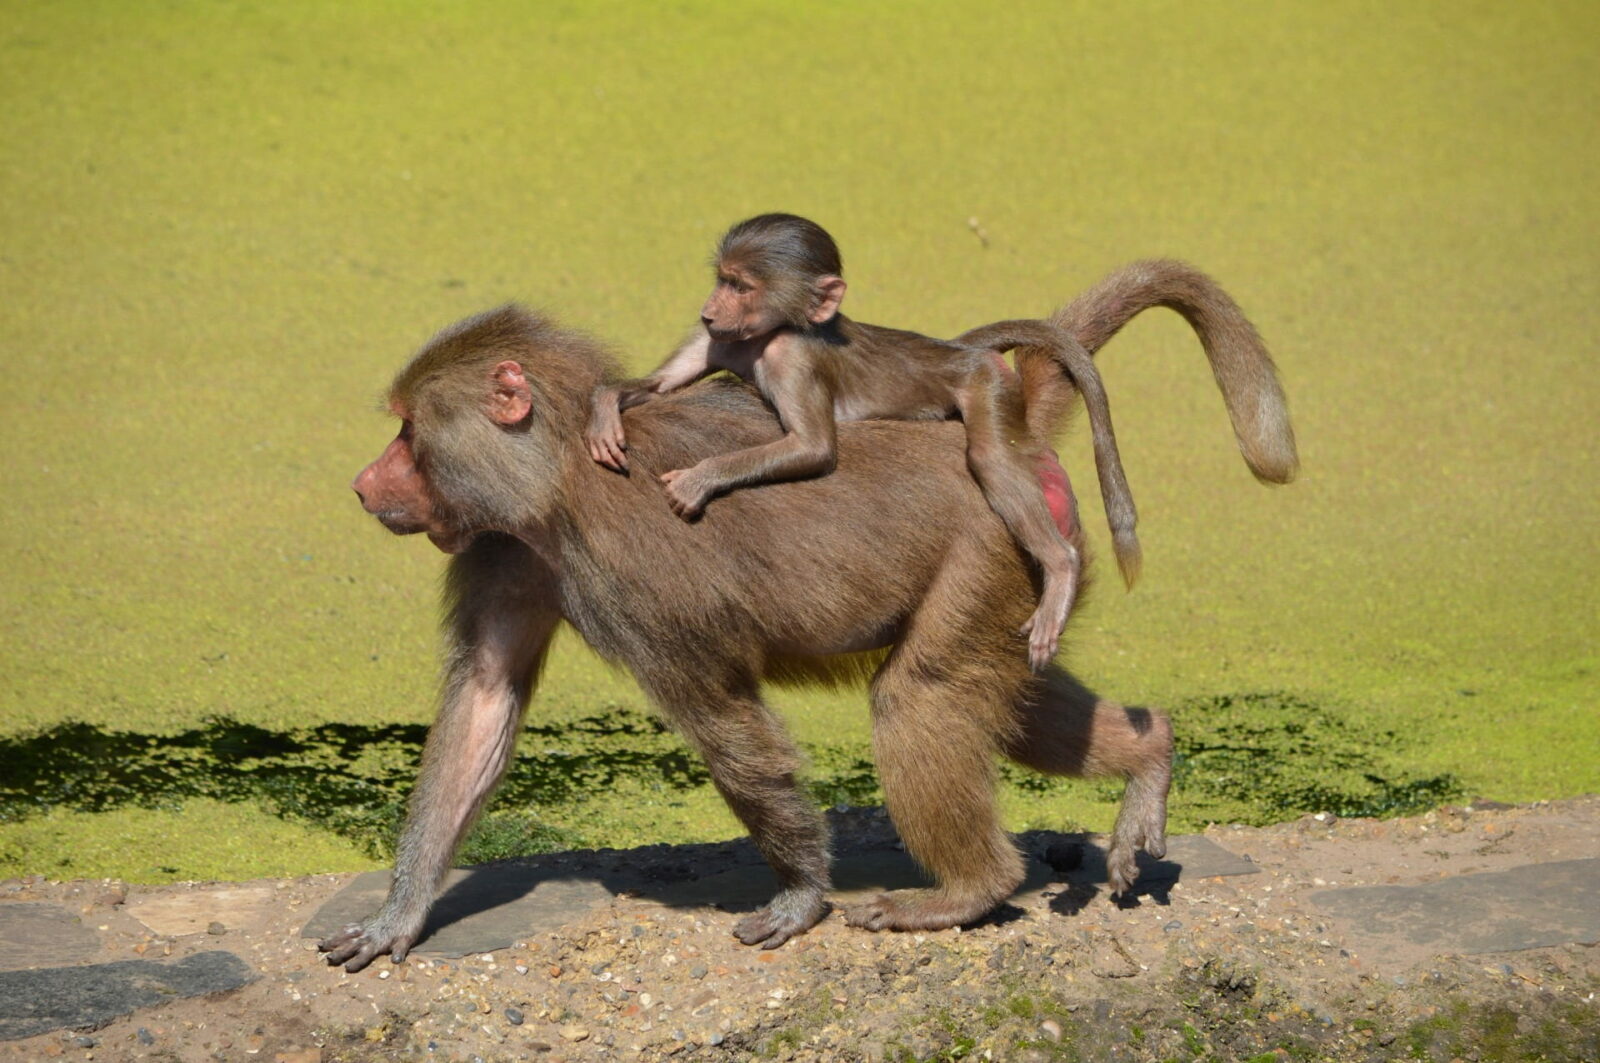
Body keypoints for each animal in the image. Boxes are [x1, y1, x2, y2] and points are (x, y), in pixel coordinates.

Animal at [586, 214, 1140, 673]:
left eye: (740, 286)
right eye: (721, 280)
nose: (707, 310)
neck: (769, 334)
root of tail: (957, 350)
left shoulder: (794, 359)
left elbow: (813, 448)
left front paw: (699, 480)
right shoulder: (717, 341)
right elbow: (662, 385)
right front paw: (604, 408)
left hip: (985, 383)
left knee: (989, 459)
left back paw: (1060, 566)